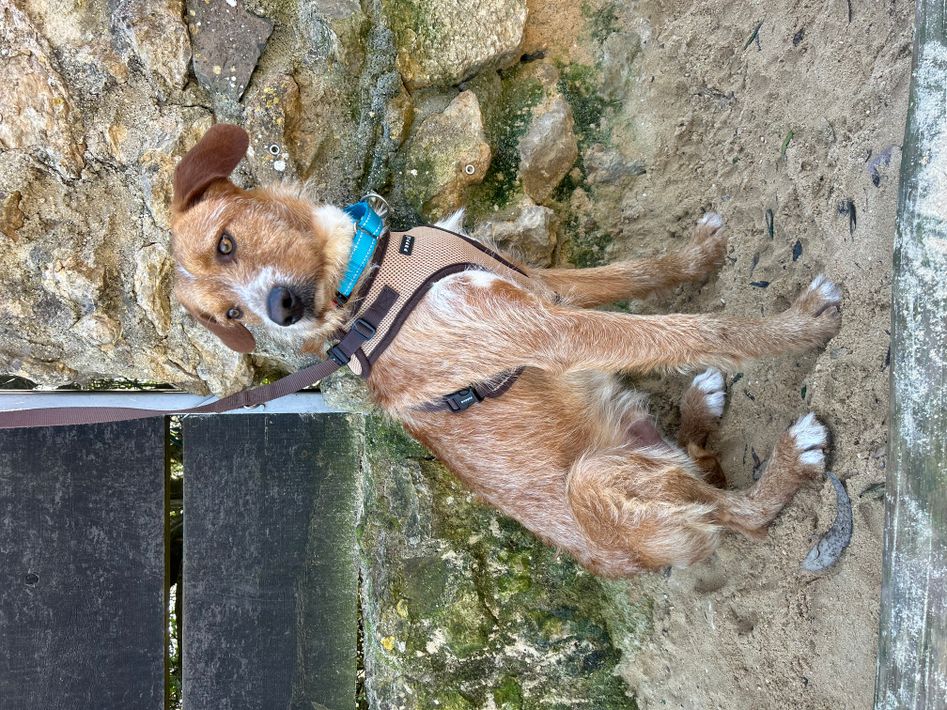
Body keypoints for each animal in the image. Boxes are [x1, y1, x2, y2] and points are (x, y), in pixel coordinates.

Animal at [170, 124, 841, 578]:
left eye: (226, 243)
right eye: (230, 316)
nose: (278, 308)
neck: (370, 281)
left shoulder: (539, 283)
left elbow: (632, 274)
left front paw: (697, 259)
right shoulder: (553, 333)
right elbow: (690, 331)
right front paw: (793, 330)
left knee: (704, 468)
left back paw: (703, 408)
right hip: (596, 482)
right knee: (738, 515)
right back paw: (789, 459)